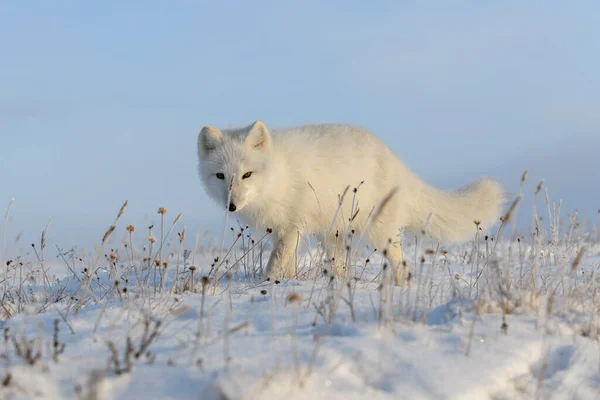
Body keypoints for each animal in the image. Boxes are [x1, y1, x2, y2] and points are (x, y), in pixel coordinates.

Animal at [197, 120, 502, 282]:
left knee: (401, 262)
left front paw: (267, 283)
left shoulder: (292, 225)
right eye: (221, 176)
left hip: (379, 231)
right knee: (340, 264)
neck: (278, 176)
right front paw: (288, 282)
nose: (232, 205)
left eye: (247, 175)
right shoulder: (285, 230)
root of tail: (395, 160)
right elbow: (289, 261)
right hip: (333, 234)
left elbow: (276, 260)